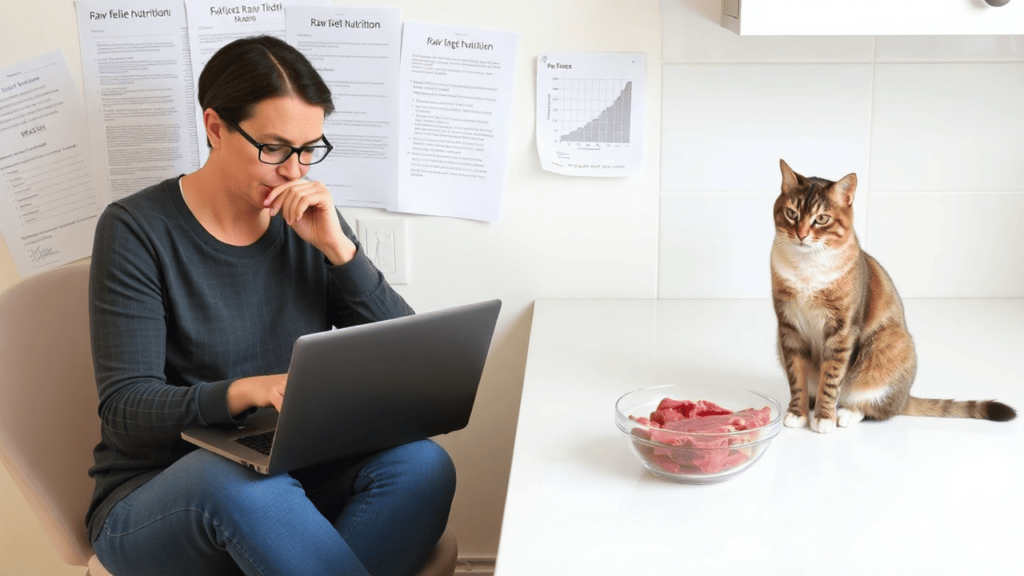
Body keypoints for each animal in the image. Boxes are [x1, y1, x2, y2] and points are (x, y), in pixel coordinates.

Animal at [770, 158, 1011, 432]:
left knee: (873, 406)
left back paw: (845, 412)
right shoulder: (788, 327)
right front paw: (797, 413)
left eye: (821, 219)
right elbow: (796, 376)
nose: (801, 234)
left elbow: (831, 378)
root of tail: (904, 398)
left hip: (886, 347)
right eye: (792, 213)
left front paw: (824, 417)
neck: (806, 266)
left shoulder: (842, 331)